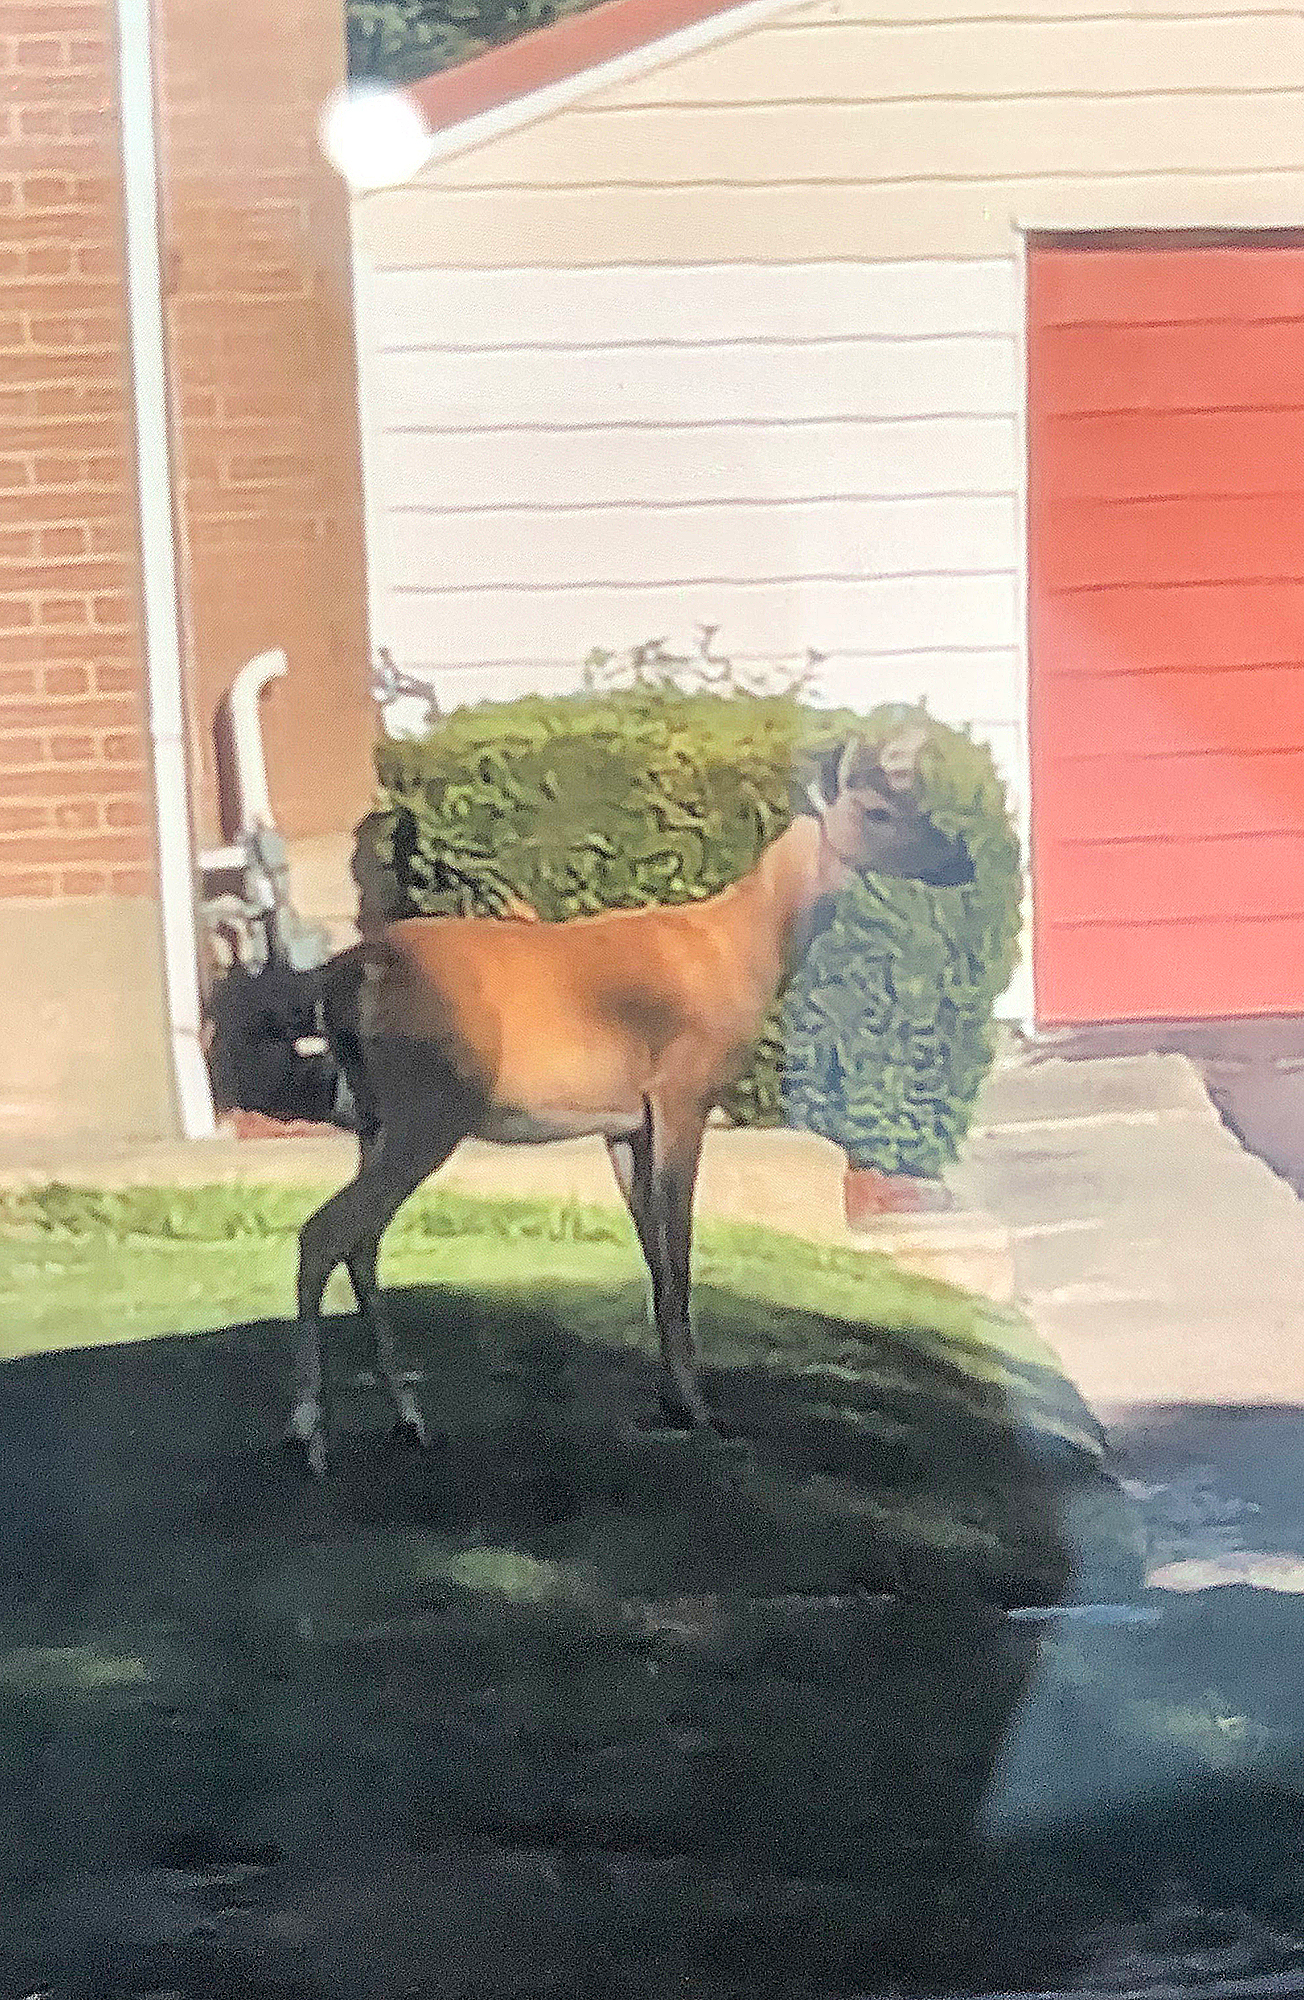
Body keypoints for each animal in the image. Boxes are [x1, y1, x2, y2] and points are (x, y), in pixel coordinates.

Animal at [285, 727, 973, 1474]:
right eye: (878, 810)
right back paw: (310, 1434)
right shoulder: (684, 1089)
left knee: (362, 1243)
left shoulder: (623, 1121)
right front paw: (701, 1410)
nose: (962, 858)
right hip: (427, 1109)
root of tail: (349, 971)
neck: (746, 949)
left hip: (377, 1119)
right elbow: (679, 1247)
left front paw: (672, 1399)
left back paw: (409, 1418)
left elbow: (650, 1250)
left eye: (917, 799)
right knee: (325, 1233)